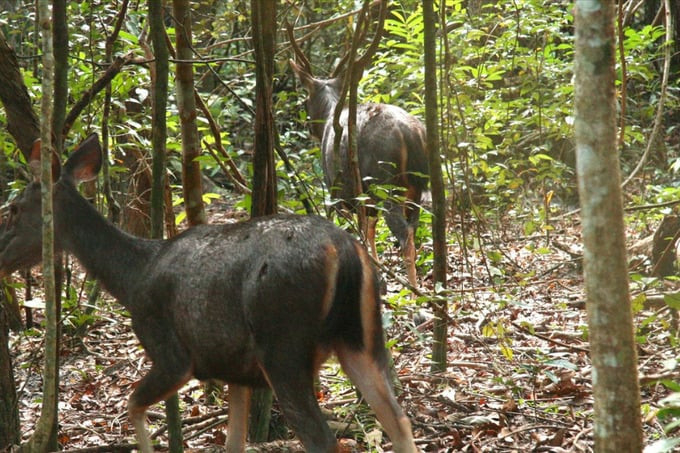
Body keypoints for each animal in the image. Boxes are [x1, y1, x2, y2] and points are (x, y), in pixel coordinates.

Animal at [0, 132, 418, 450]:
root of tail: (344, 251)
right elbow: (233, 442)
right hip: (363, 337)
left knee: (325, 439)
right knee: (399, 421)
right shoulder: (234, 369)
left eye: (14, 208)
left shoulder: (174, 353)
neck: (134, 276)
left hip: (283, 345)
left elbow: (132, 404)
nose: (1, 256)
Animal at [288, 24, 430, 288]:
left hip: (384, 183)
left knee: (405, 237)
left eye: (304, 99)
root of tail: (411, 136)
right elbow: (370, 231)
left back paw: (413, 290)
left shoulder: (337, 189)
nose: (308, 126)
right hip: (415, 189)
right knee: (414, 231)